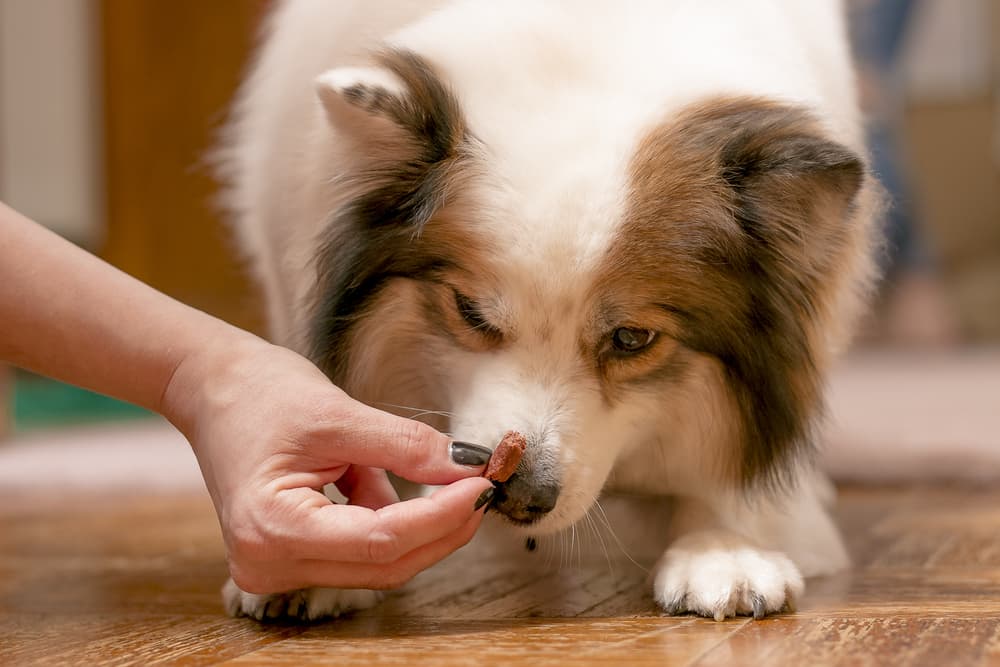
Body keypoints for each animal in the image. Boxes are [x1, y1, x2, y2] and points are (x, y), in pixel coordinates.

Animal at [215, 0, 880, 624]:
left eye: (632, 338)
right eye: (470, 311)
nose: (519, 497)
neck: (589, 48)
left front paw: (724, 547)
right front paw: (314, 551)